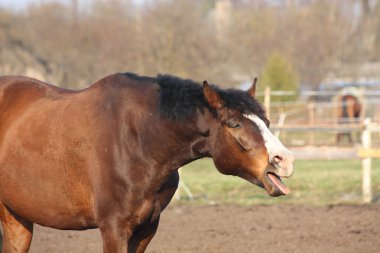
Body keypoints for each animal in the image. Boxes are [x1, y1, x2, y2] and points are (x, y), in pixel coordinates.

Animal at [0, 72, 294, 252]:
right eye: (234, 124)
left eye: (266, 121)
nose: (284, 160)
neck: (140, 139)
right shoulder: (114, 229)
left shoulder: (146, 228)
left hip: (17, 217)